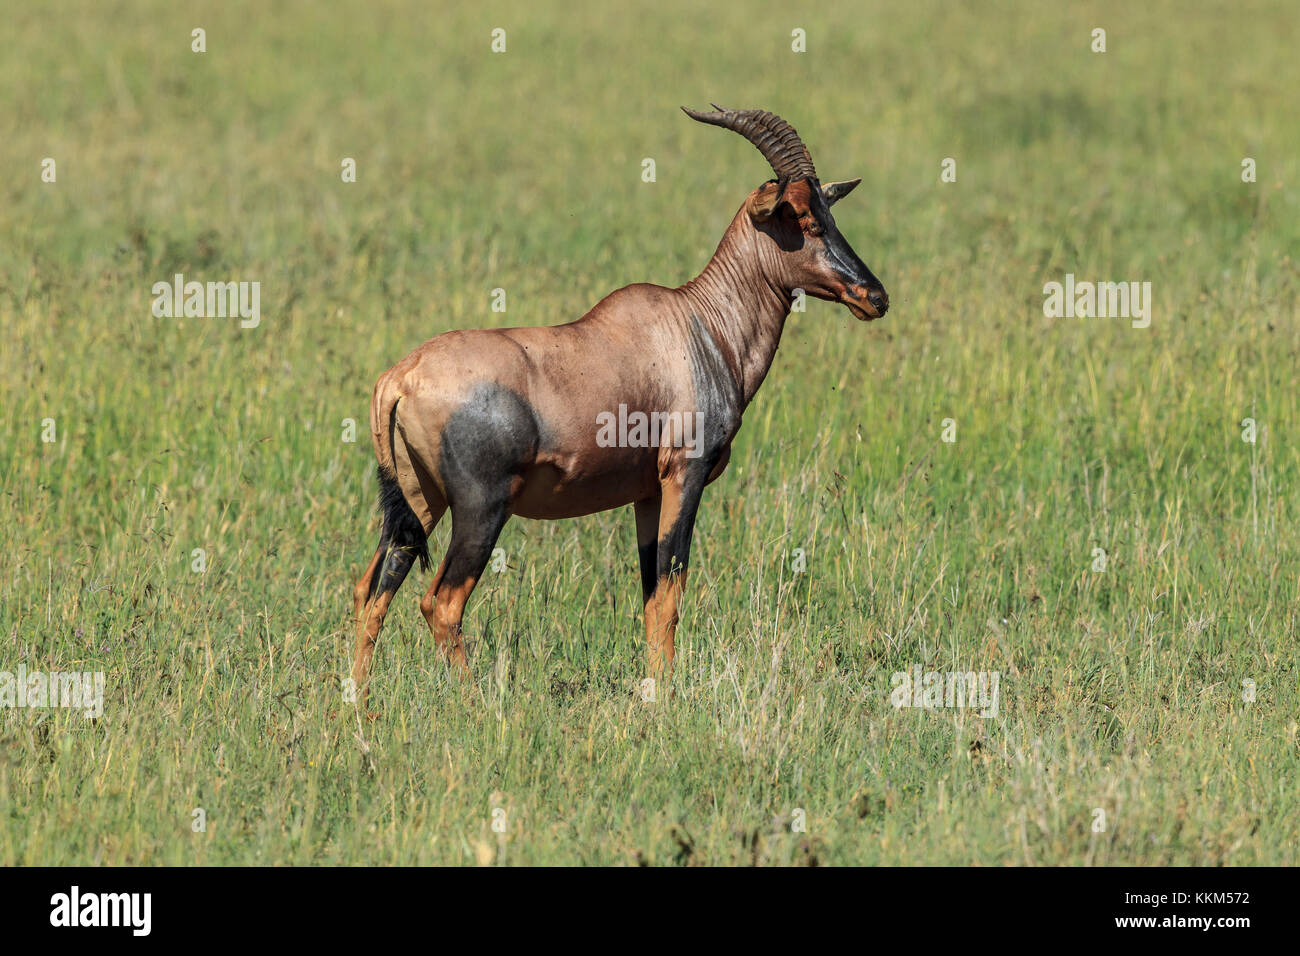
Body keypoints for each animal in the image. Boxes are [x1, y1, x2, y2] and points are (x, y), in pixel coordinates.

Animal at [351, 106, 889, 712]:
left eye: (828, 210)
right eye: (801, 218)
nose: (875, 297)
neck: (696, 324)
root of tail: (400, 377)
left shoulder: (647, 493)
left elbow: (652, 596)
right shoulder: (685, 475)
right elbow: (672, 592)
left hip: (417, 503)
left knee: (371, 589)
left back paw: (357, 703)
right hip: (480, 508)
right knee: (441, 603)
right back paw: (476, 705)